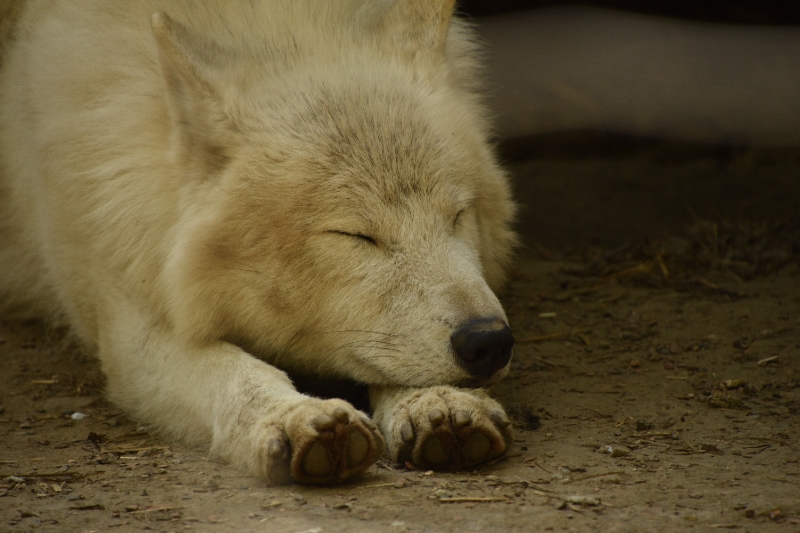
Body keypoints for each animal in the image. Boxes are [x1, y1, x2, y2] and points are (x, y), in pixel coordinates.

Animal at [0, 1, 520, 482]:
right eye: (356, 235)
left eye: (457, 215)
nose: (488, 341)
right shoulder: (129, 310)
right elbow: (234, 372)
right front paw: (292, 417)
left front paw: (439, 403)